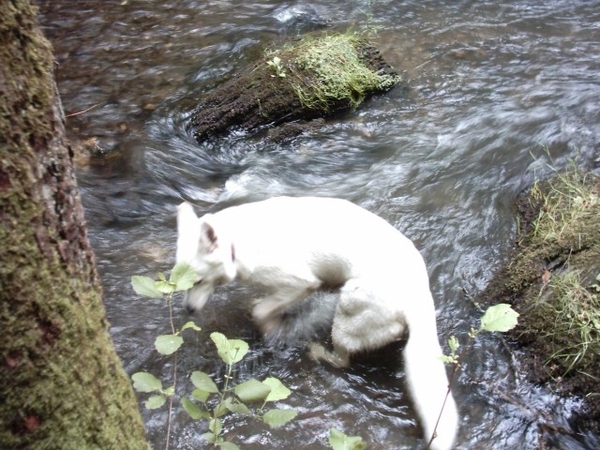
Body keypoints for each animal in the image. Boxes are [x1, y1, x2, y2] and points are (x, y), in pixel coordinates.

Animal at [176, 197, 458, 450]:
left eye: (198, 281)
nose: (188, 310)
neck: (237, 242)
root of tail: (419, 300)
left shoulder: (300, 283)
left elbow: (261, 311)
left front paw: (272, 329)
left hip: (346, 312)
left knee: (343, 359)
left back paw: (318, 351)